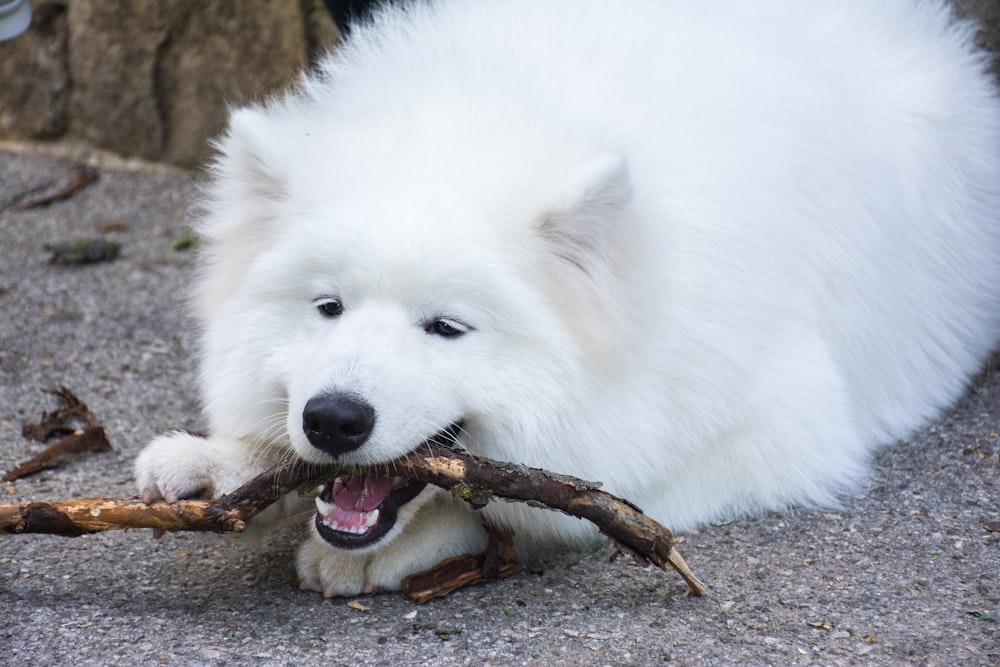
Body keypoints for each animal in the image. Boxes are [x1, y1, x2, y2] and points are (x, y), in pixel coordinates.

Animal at [135, 0, 1000, 596]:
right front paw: (220, 460)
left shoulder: (780, 430)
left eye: (446, 327)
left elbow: (550, 496)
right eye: (327, 307)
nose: (334, 419)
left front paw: (409, 542)